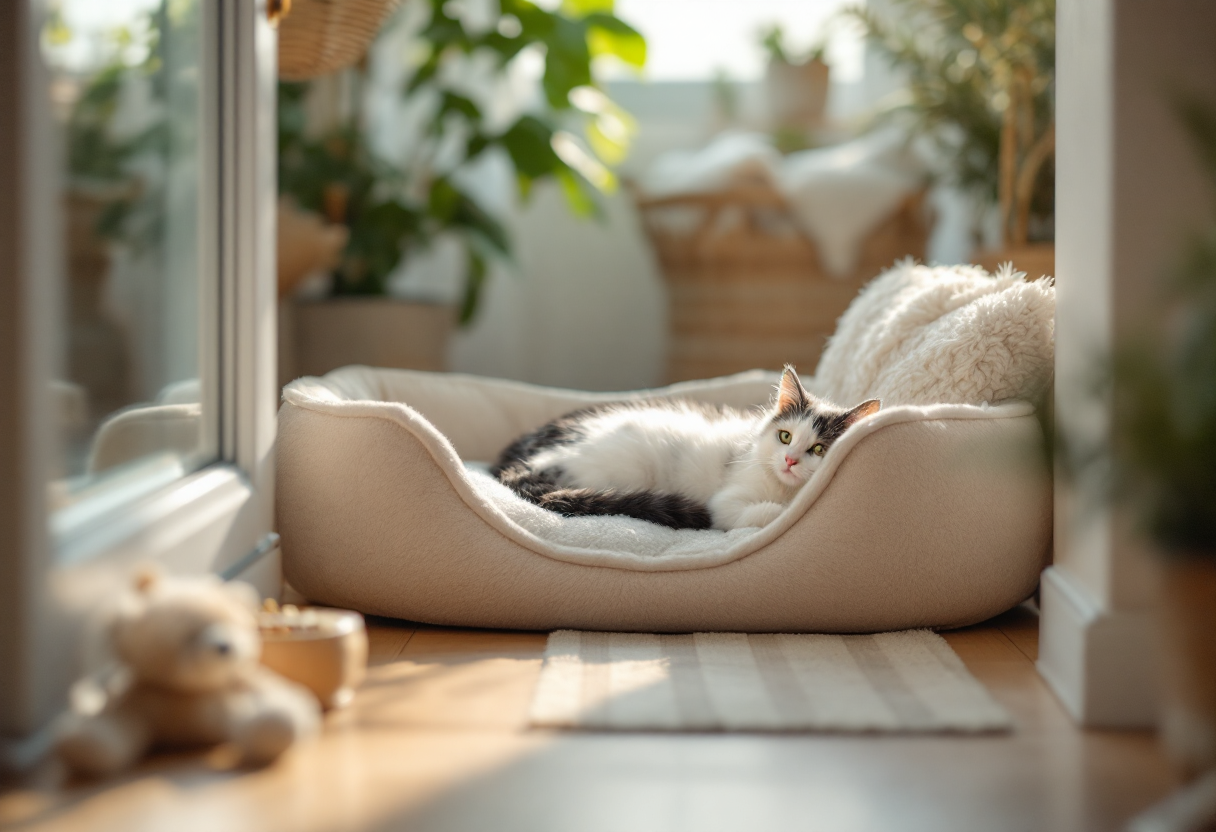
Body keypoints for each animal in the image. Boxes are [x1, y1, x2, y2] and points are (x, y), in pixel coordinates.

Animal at [488, 364, 880, 532]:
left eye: (819, 449)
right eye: (785, 436)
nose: (788, 459)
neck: (785, 489)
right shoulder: (725, 500)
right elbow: (750, 513)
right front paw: (782, 512)